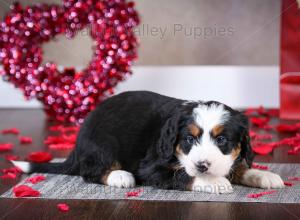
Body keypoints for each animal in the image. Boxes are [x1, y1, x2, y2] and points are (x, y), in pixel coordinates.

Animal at [11, 90, 284, 193]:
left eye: (222, 140)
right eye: (189, 138)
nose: (202, 165)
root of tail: (77, 145)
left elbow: (238, 166)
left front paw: (264, 175)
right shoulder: (152, 166)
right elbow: (182, 175)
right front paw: (214, 182)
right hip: (102, 144)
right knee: (90, 171)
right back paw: (120, 176)